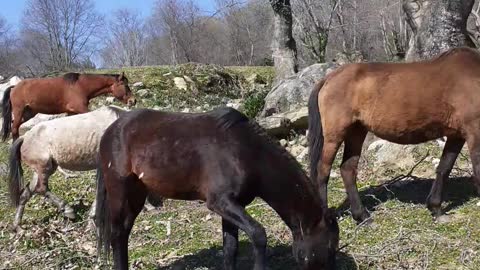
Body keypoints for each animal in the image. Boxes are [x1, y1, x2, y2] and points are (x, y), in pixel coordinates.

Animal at [1, 71, 137, 141]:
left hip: (28, 113)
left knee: (14, 126)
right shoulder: (81, 109)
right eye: (124, 85)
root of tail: (14, 87)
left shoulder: (71, 112)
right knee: (14, 128)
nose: (133, 101)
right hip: (19, 111)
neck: (80, 86)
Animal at [95, 107, 340, 270]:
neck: (247, 152)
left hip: (136, 194)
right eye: (329, 250)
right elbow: (258, 235)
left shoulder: (232, 207)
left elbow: (230, 249)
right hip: (120, 191)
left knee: (123, 233)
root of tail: (110, 131)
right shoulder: (220, 202)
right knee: (117, 234)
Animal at [310, 46, 480, 224]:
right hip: (334, 136)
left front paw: (436, 208)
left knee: (348, 169)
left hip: (356, 132)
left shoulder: (457, 135)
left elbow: (444, 168)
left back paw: (362, 216)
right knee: (322, 172)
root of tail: (328, 78)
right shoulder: (474, 131)